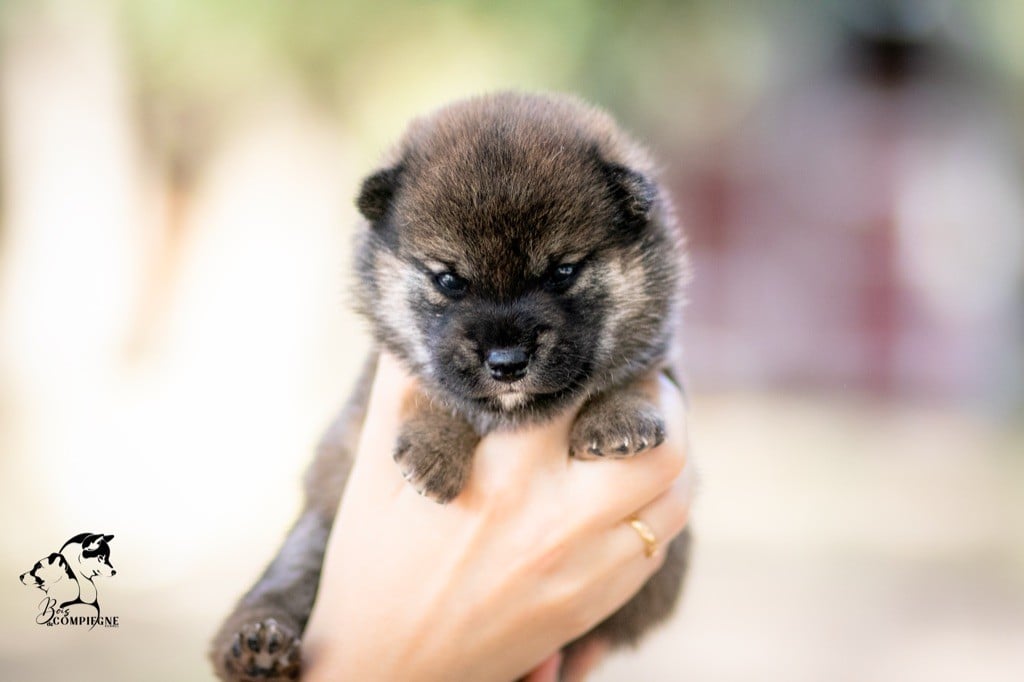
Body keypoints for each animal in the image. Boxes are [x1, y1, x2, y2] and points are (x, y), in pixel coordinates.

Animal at [211, 91, 692, 679]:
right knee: (275, 593)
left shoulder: (659, 358)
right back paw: (257, 646)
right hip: (309, 541)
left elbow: (633, 374)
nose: (507, 362)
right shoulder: (386, 376)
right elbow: (437, 389)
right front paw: (436, 452)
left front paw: (617, 418)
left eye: (562, 272)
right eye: (448, 280)